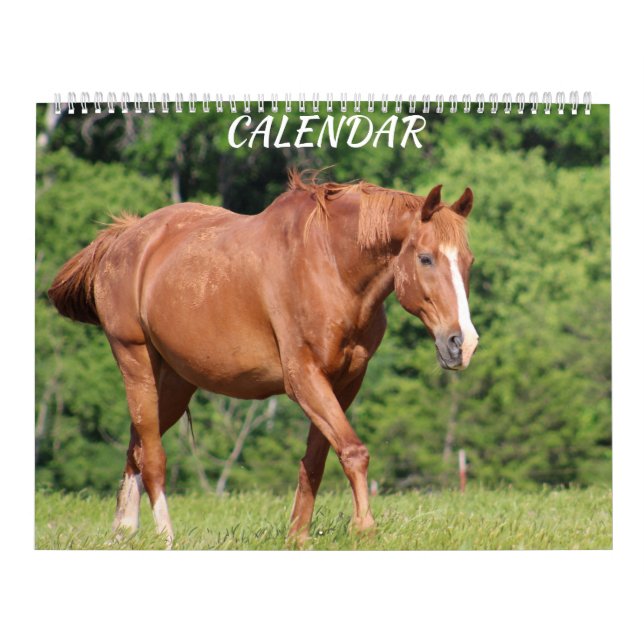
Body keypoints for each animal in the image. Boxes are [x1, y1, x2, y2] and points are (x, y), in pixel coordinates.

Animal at [48, 171, 478, 547]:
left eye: (468, 261)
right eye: (425, 258)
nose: (463, 343)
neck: (330, 266)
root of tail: (126, 237)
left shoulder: (345, 381)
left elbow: (317, 460)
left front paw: (298, 537)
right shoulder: (303, 377)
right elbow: (353, 451)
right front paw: (364, 529)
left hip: (174, 382)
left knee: (135, 448)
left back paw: (123, 532)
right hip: (135, 362)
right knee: (153, 457)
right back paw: (165, 536)